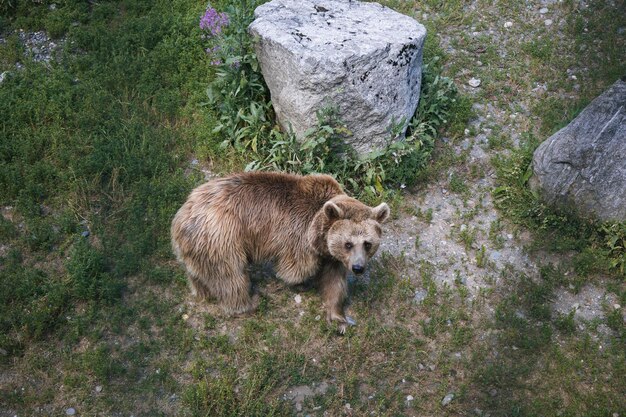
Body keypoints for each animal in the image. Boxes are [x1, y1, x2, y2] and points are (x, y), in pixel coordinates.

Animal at [169, 171, 386, 330]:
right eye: (348, 243)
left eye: (367, 243)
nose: (358, 268)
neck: (319, 234)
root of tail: (181, 216)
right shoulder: (299, 237)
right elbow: (296, 269)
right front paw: (301, 283)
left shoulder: (333, 256)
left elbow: (334, 282)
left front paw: (338, 317)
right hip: (222, 239)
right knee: (231, 277)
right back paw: (249, 302)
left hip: (199, 247)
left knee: (201, 274)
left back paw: (202, 291)